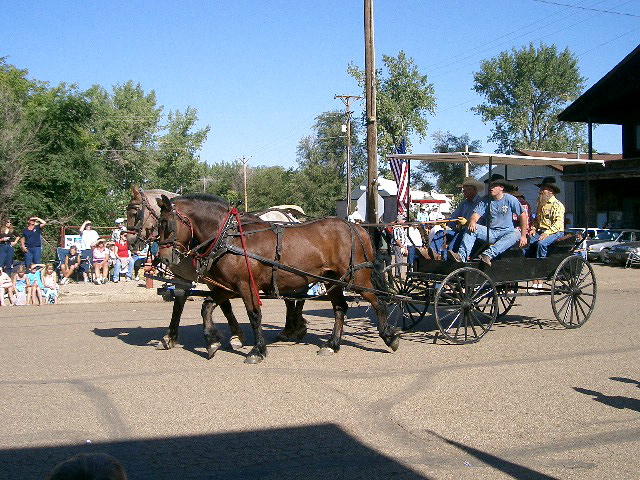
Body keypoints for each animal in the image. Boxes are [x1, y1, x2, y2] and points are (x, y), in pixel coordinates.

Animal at [158, 191, 398, 364]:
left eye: (166, 224)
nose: (164, 257)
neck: (229, 237)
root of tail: (356, 227)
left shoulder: (246, 285)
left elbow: (254, 315)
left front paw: (257, 350)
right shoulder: (229, 287)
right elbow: (207, 306)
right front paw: (211, 341)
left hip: (357, 278)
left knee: (378, 302)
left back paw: (389, 337)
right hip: (332, 279)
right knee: (340, 308)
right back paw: (332, 344)